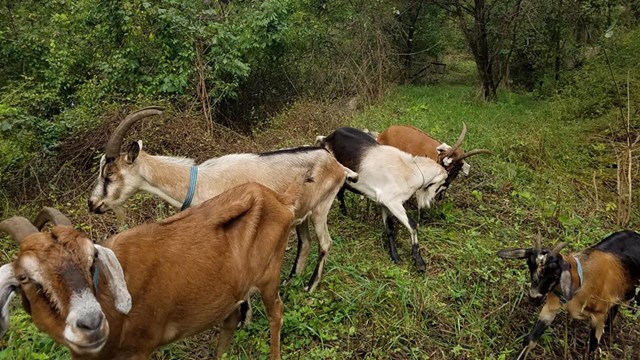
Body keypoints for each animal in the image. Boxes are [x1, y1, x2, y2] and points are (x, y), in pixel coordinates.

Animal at [0, 181, 302, 358]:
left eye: (91, 259)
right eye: (25, 278)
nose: (91, 325)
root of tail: (278, 198)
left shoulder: (141, 347)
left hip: (269, 273)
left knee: (276, 312)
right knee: (230, 320)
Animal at [500, 232, 640, 358]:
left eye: (555, 274)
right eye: (529, 265)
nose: (534, 298)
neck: (581, 280)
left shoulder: (598, 316)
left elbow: (591, 348)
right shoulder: (551, 306)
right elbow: (530, 340)